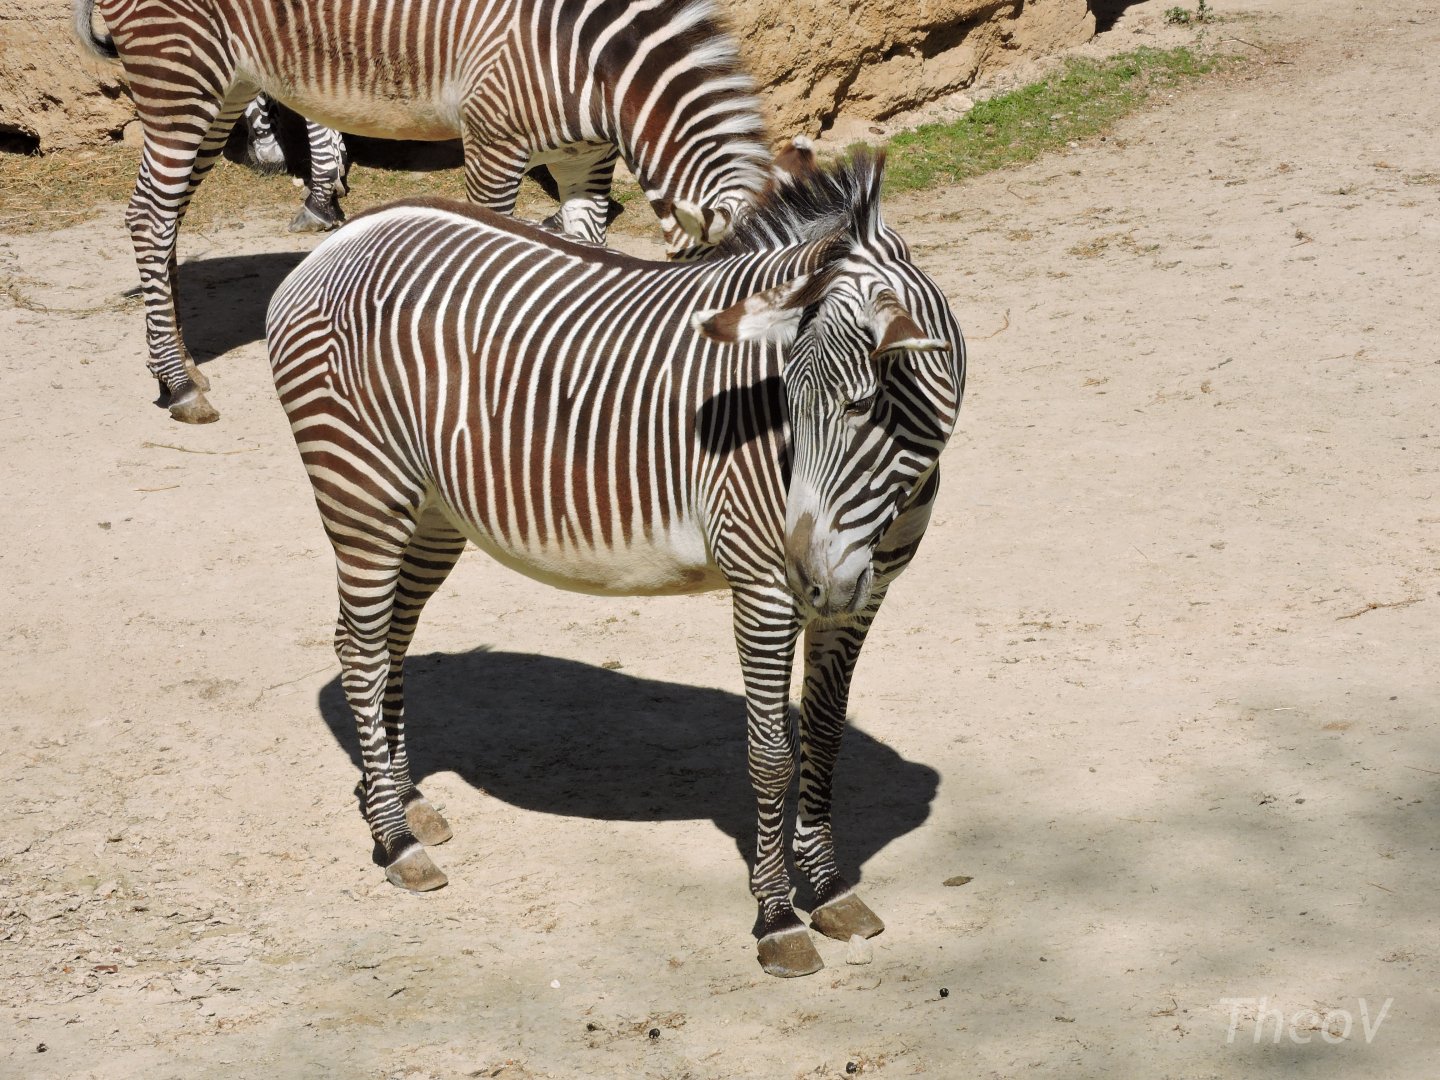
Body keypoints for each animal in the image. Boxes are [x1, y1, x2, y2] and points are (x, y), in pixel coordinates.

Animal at [265, 149, 966, 977]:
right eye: (783, 404)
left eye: (862, 406)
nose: (812, 579)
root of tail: (340, 243)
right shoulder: (763, 585)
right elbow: (771, 754)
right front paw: (776, 919)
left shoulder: (862, 596)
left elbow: (824, 738)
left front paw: (829, 890)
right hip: (361, 493)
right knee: (358, 651)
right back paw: (396, 841)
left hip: (432, 512)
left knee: (390, 644)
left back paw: (408, 803)